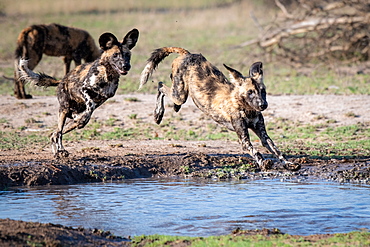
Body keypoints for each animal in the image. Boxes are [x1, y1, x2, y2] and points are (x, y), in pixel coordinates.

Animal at [17, 28, 139, 158]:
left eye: (127, 55)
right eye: (115, 55)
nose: (126, 66)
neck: (108, 75)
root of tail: (61, 80)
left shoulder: (102, 98)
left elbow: (89, 110)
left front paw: (84, 118)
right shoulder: (83, 89)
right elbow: (90, 105)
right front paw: (84, 118)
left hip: (70, 118)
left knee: (55, 133)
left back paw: (57, 152)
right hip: (64, 110)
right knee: (59, 132)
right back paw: (60, 151)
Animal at [140, 45, 300, 170]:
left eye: (263, 91)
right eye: (250, 92)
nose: (263, 104)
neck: (246, 108)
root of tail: (188, 54)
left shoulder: (263, 136)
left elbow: (276, 150)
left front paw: (288, 163)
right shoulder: (244, 140)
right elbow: (255, 151)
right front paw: (263, 163)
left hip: (180, 95)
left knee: (169, 94)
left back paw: (173, 109)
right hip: (179, 94)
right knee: (160, 85)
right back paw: (158, 114)